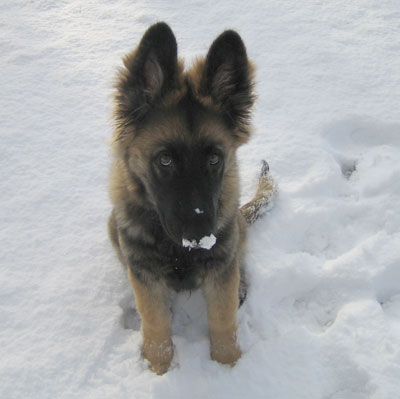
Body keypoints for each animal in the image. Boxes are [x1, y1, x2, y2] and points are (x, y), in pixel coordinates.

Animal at [108, 21, 276, 376]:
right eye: (165, 160)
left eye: (214, 159)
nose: (200, 238)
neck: (176, 250)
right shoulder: (144, 272)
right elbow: (156, 329)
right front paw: (160, 371)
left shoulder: (220, 267)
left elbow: (224, 324)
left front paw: (230, 370)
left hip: (235, 232)